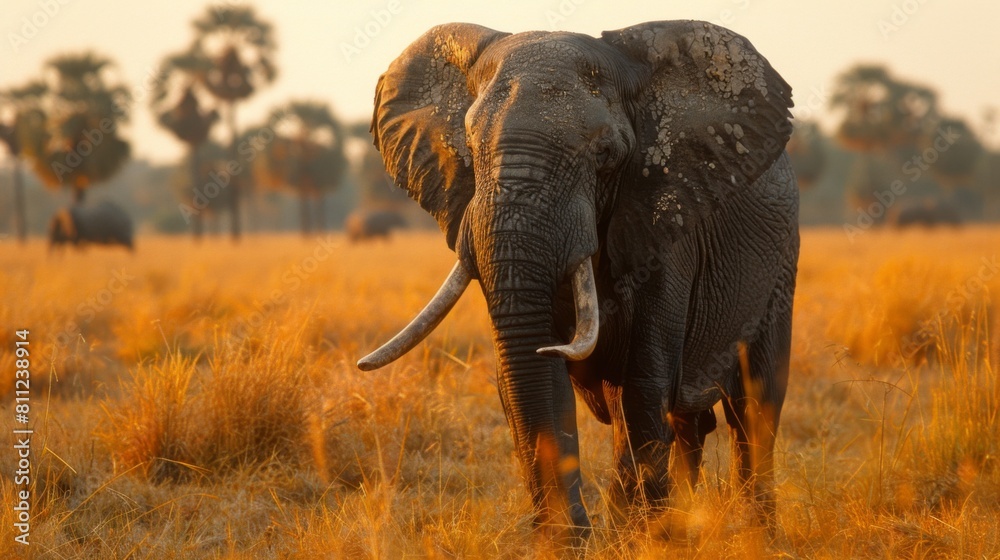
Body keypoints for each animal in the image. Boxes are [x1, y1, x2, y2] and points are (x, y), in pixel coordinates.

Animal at [358, 20, 799, 545]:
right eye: (470, 143)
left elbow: (645, 380)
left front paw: (636, 541)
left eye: (606, 154)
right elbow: (538, 377)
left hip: (781, 267)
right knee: (688, 421)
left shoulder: (667, 219)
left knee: (754, 405)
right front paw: (568, 542)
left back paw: (755, 535)